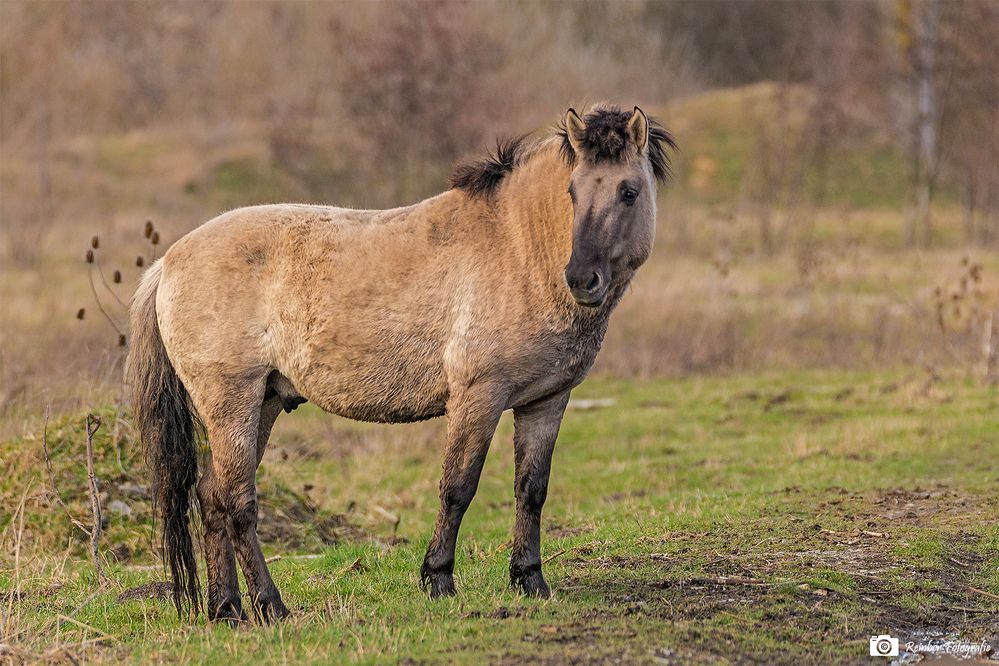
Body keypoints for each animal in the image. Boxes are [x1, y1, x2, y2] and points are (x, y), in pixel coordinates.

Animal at [123, 101, 672, 620]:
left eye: (628, 191)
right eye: (573, 192)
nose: (582, 280)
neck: (519, 249)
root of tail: (169, 262)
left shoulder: (546, 402)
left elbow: (531, 490)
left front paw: (531, 580)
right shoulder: (479, 397)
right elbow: (458, 487)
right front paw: (438, 579)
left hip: (264, 404)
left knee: (212, 497)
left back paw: (226, 609)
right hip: (232, 404)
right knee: (237, 502)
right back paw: (270, 605)